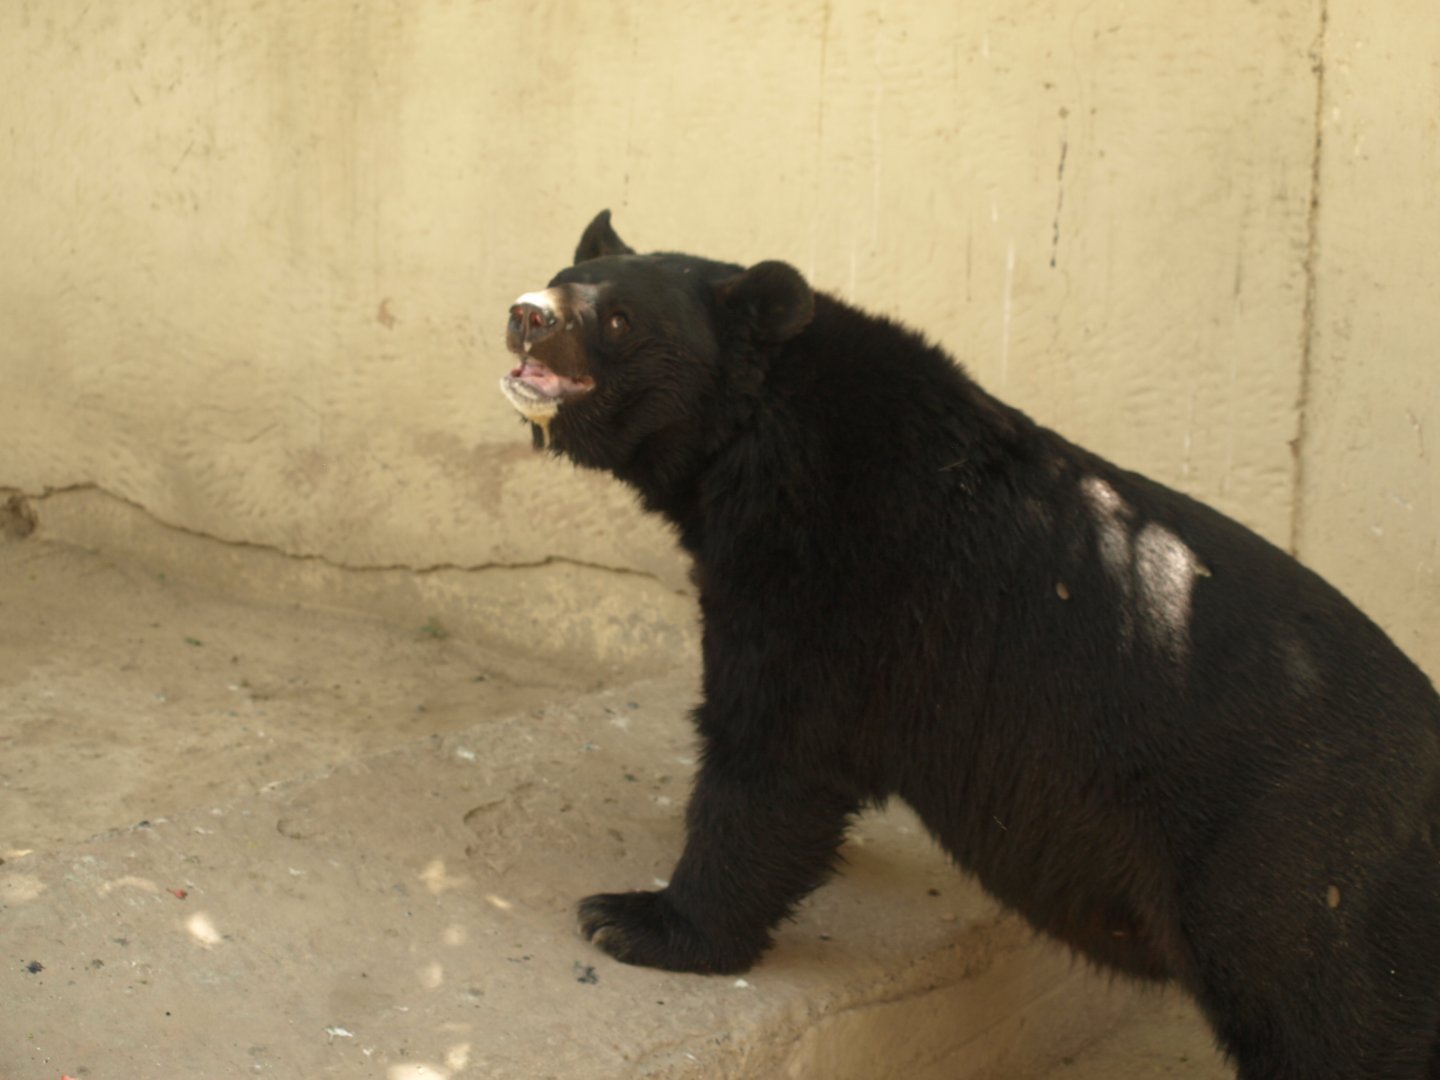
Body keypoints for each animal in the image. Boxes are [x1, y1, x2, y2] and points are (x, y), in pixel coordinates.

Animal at [499, 211, 1440, 1079]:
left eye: (618, 318)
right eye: (560, 277)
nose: (523, 315)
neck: (749, 448)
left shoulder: (832, 578)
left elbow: (774, 754)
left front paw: (636, 919)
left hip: (1292, 866)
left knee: (1324, 1019)